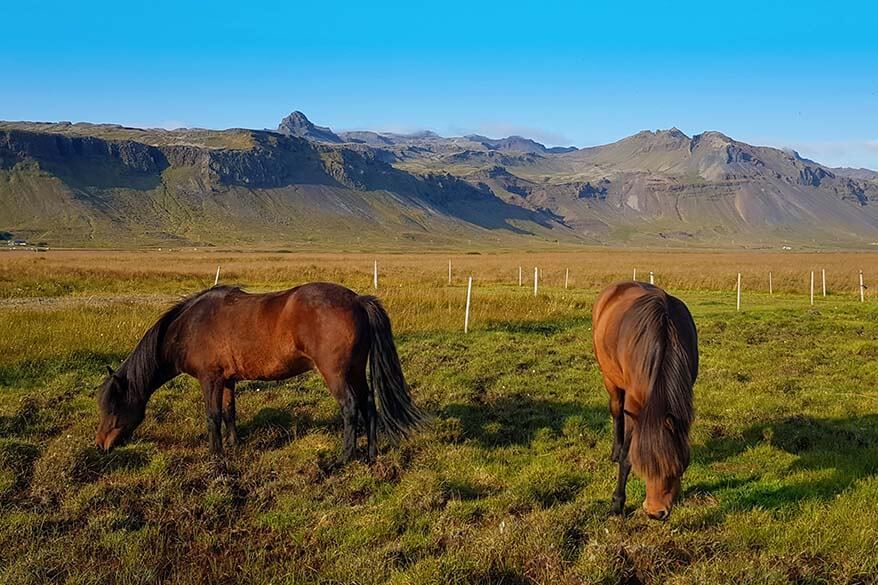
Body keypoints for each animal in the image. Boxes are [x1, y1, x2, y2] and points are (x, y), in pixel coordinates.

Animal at [96, 282, 422, 460]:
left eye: (113, 407)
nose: (100, 446)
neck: (188, 326)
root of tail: (357, 300)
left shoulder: (210, 380)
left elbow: (212, 417)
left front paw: (216, 455)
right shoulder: (227, 380)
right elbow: (229, 413)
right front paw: (234, 445)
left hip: (336, 374)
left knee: (351, 407)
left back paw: (344, 457)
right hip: (355, 370)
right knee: (368, 405)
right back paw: (370, 454)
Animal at [596, 280, 696, 516]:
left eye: (677, 467)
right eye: (645, 467)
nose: (655, 513)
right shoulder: (635, 405)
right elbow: (626, 456)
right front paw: (617, 503)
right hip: (610, 380)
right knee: (617, 412)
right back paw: (615, 450)